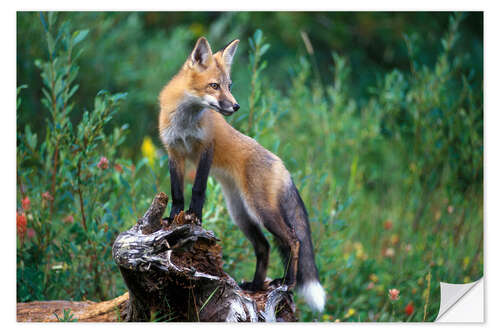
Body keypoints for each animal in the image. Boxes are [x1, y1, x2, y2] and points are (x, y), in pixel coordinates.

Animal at [158, 37, 326, 312]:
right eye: (214, 86)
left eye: (229, 85)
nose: (236, 106)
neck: (185, 121)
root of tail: (282, 165)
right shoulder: (174, 152)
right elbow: (177, 192)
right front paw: (173, 218)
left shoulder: (206, 147)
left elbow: (198, 188)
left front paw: (195, 217)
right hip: (241, 214)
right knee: (264, 247)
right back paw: (256, 286)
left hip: (261, 210)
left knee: (293, 240)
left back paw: (287, 282)